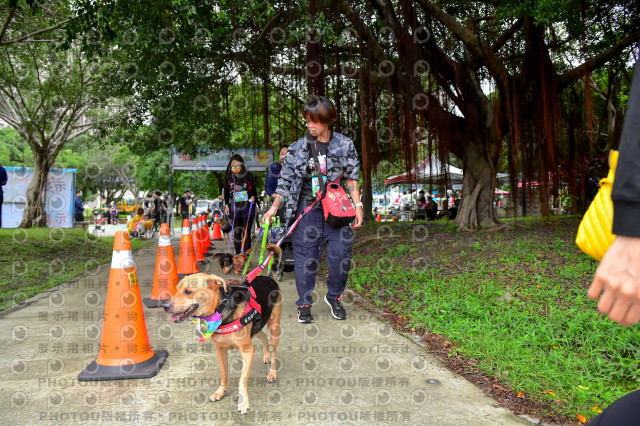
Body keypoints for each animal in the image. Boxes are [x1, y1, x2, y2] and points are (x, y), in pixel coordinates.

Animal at [164, 270, 282, 412]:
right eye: (176, 290)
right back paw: (266, 355)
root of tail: (269, 277)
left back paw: (272, 373)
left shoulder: (247, 350)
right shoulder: (220, 349)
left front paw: (243, 401)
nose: (165, 306)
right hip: (257, 326)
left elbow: (242, 378)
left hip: (274, 327)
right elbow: (224, 374)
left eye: (188, 291)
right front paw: (220, 392)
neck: (220, 308)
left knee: (274, 350)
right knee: (264, 337)